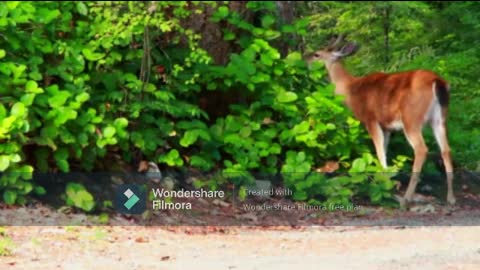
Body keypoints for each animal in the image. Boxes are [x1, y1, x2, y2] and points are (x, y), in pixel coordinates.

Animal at [306, 34, 456, 206]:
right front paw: (386, 181)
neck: (350, 89)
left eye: (317, 54)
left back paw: (406, 198)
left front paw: (384, 184)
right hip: (439, 119)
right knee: (446, 150)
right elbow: (384, 149)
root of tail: (437, 82)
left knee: (421, 149)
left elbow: (379, 152)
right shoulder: (387, 127)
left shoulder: (371, 119)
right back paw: (451, 198)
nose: (305, 59)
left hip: (411, 118)